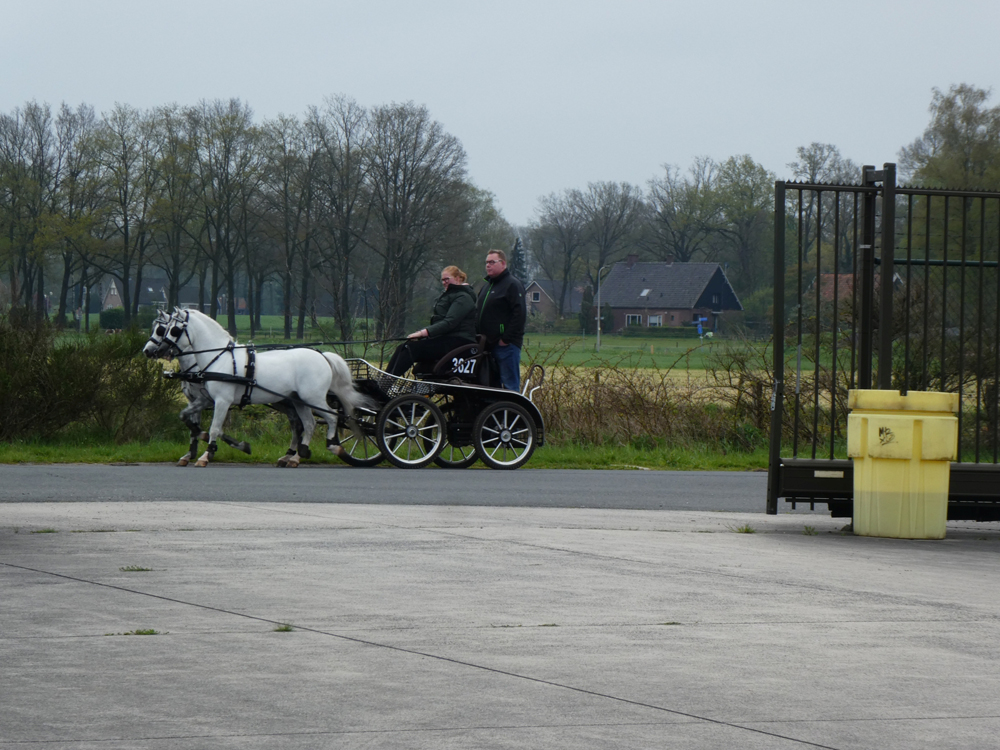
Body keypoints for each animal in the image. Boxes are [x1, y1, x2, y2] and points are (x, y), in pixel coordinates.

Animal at [145, 308, 368, 468]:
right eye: (161, 328)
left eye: (169, 329)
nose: (148, 351)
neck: (217, 358)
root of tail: (322, 355)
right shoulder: (203, 400)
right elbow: (188, 419)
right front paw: (198, 447)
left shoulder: (221, 401)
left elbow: (215, 428)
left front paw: (206, 454)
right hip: (298, 400)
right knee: (308, 424)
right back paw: (296, 456)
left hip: (313, 398)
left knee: (331, 418)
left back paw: (332, 447)